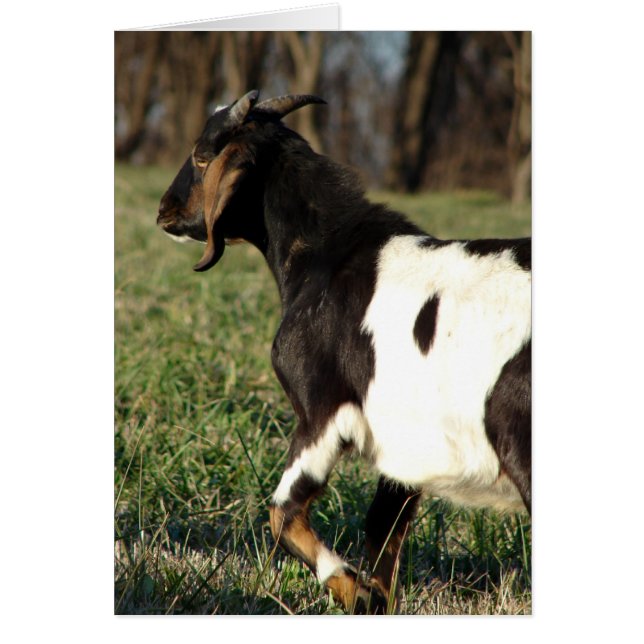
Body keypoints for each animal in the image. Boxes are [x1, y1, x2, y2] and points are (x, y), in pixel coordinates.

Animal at [157, 90, 531, 614]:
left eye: (200, 155)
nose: (164, 210)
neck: (329, 255)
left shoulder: (323, 412)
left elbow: (283, 511)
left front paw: (352, 588)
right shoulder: (400, 442)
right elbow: (382, 530)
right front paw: (375, 599)